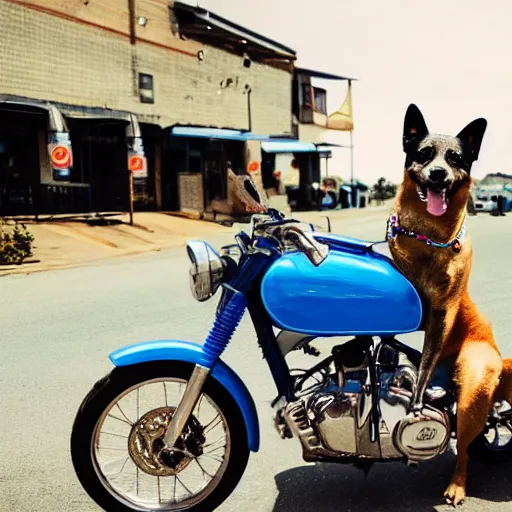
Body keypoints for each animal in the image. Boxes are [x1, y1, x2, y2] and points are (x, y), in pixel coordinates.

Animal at [388, 103, 512, 504]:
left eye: (456, 158)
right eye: (425, 153)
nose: (439, 174)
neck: (429, 235)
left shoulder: (442, 311)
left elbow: (425, 364)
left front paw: (415, 402)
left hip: (473, 389)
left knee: (468, 449)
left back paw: (457, 486)